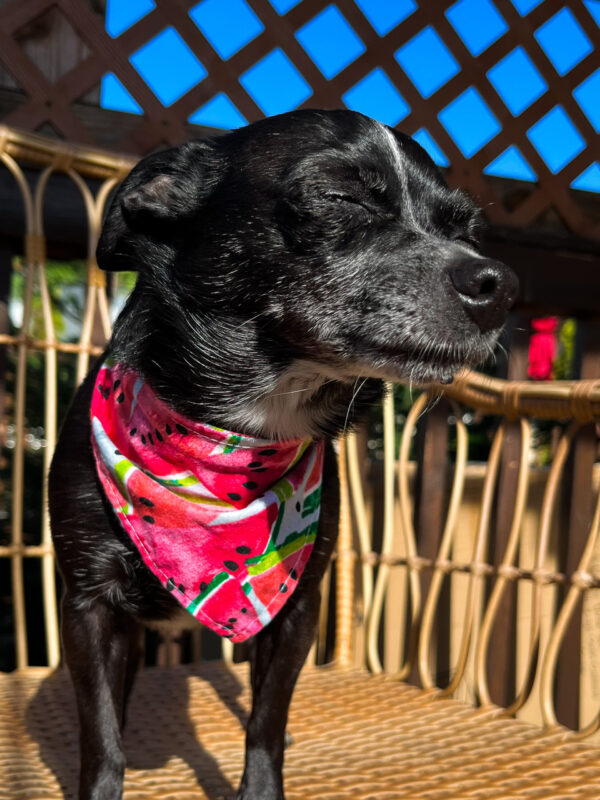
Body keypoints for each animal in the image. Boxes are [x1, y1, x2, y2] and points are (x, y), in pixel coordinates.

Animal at [48, 108, 516, 800]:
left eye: (465, 230)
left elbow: (266, 722)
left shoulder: (297, 609)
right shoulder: (88, 604)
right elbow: (101, 739)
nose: (499, 282)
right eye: (341, 197)